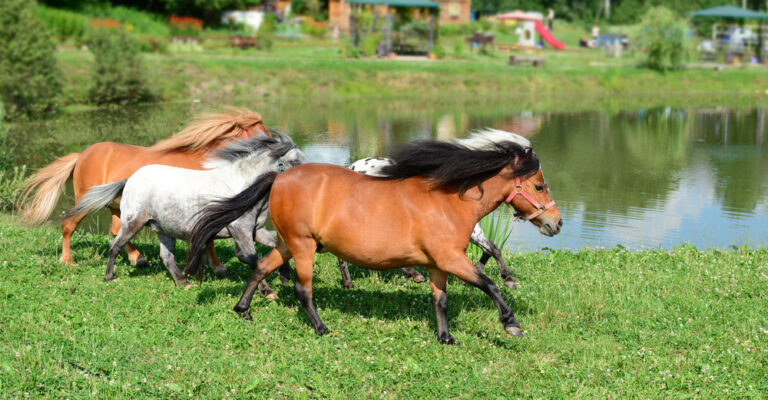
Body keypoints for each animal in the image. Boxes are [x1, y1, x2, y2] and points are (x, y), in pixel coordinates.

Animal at [16, 108, 270, 276]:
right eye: (266, 135)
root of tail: (82, 155)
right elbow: (207, 239)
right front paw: (217, 268)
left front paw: (217, 267)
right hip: (88, 202)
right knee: (69, 226)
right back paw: (68, 261)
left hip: (118, 207)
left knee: (115, 231)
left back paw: (137, 259)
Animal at [64, 133, 305, 291]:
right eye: (294, 161)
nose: (305, 181)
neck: (240, 185)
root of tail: (130, 179)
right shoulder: (241, 231)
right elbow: (252, 259)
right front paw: (269, 292)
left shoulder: (257, 230)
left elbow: (275, 246)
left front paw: (285, 277)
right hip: (133, 224)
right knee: (115, 245)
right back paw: (109, 277)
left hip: (164, 230)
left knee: (166, 256)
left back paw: (183, 282)